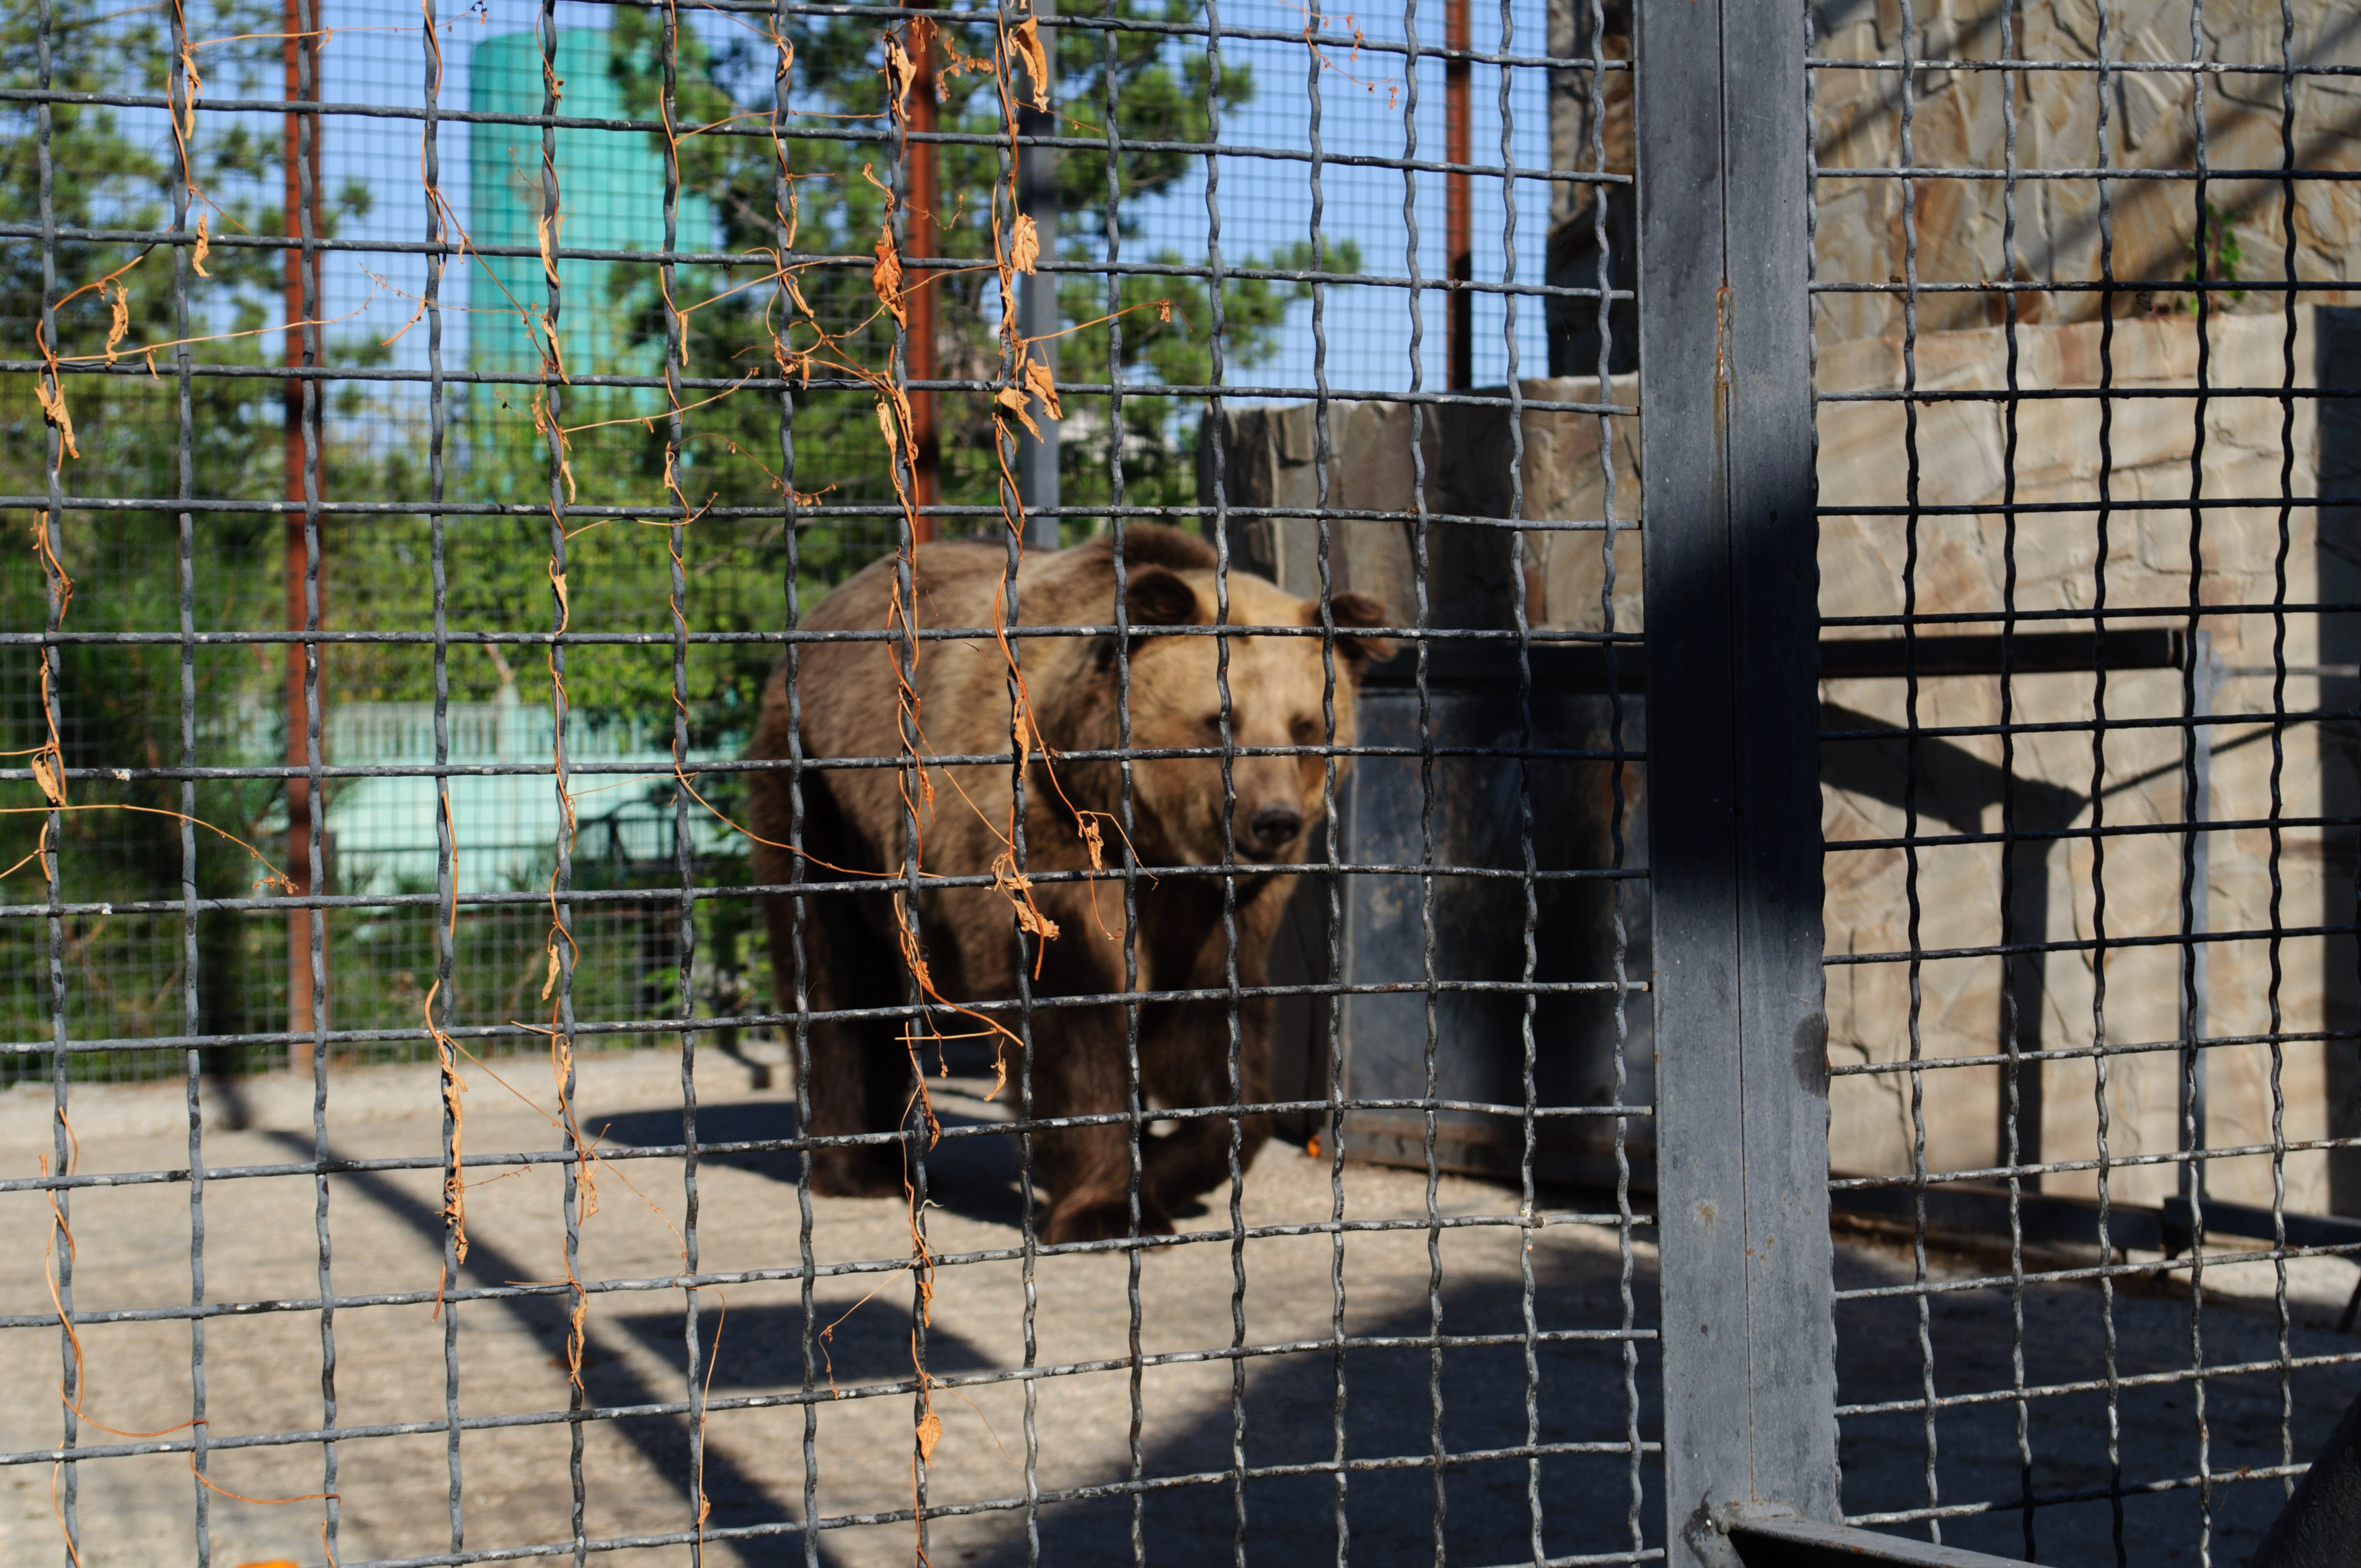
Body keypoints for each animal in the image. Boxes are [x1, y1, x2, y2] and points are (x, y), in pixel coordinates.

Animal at [745, 524, 1391, 1243]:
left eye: (1306, 727)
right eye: (1222, 718)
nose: (1273, 819)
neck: (1151, 842)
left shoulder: (1215, 909)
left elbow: (1216, 1041)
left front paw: (1164, 1164)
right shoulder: (1044, 845)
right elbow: (1068, 1022)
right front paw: (1105, 1206)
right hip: (828, 800)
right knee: (840, 981)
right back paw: (862, 1170)